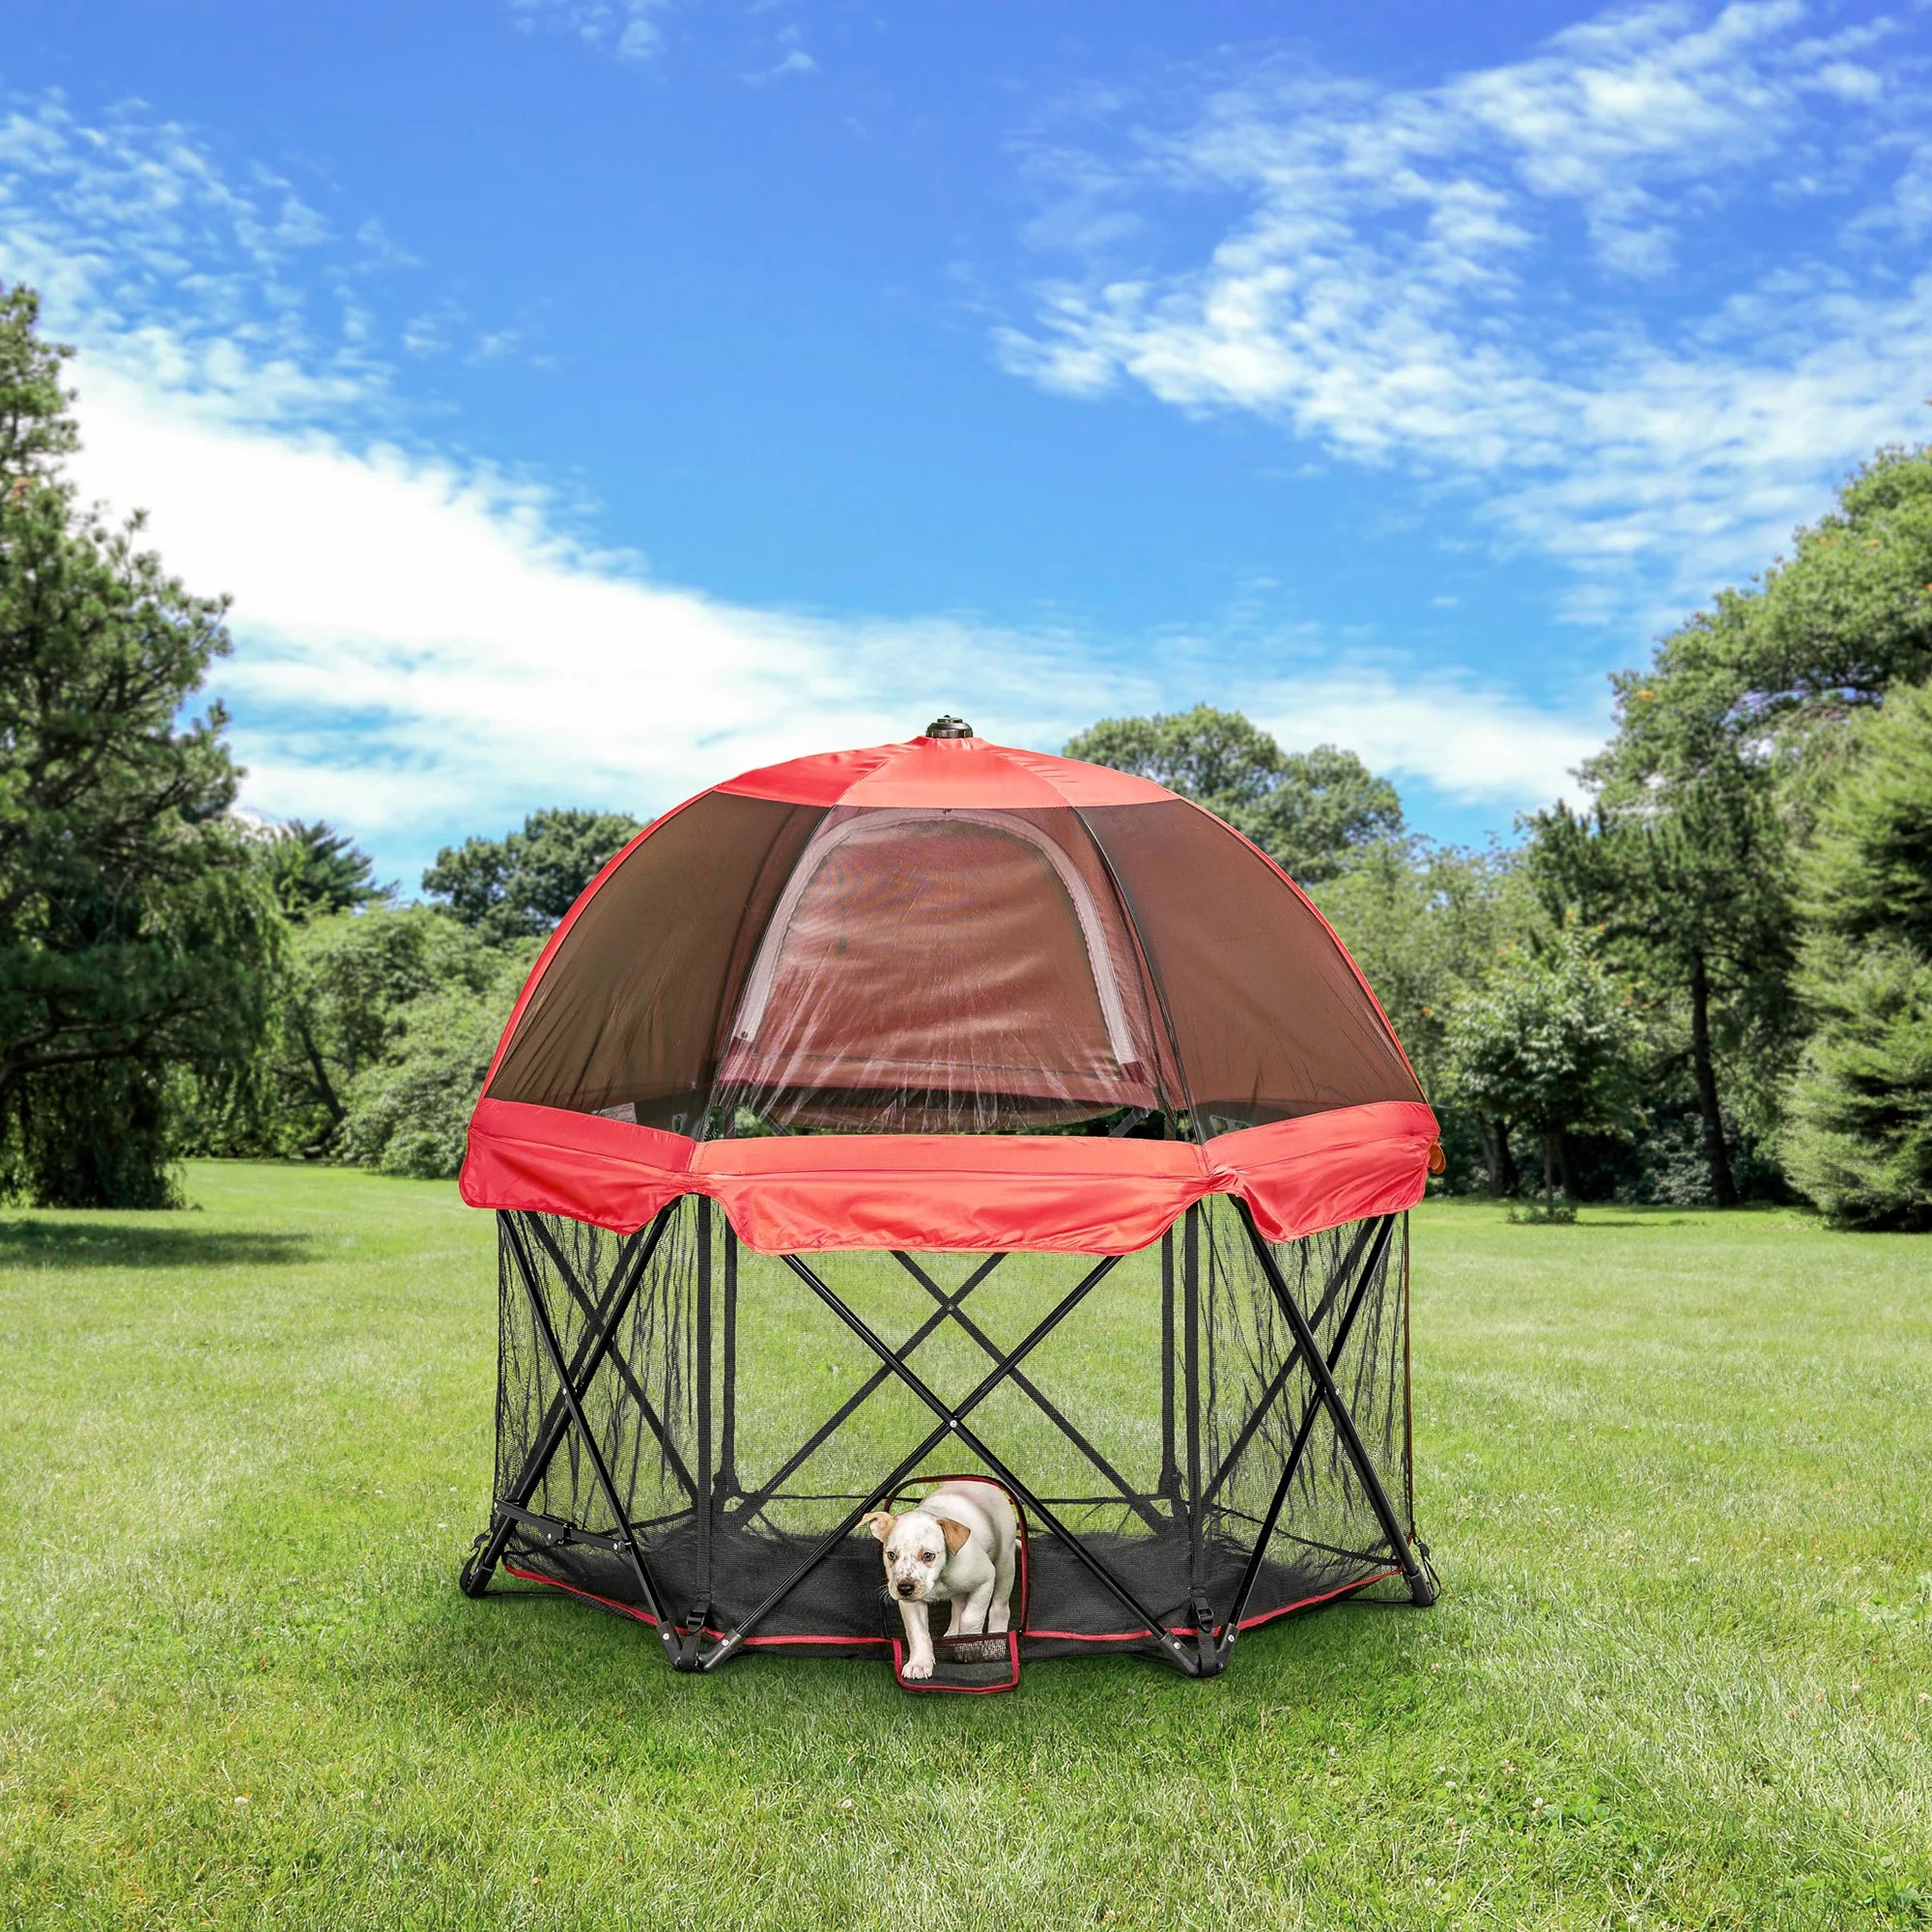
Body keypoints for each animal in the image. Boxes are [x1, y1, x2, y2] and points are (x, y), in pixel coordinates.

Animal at [866, 1476, 1020, 1677]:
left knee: (999, 1608)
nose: (904, 1588)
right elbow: (918, 1632)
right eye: (891, 1554)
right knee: (958, 1607)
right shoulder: (910, 1604)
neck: (939, 1579)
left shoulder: (986, 1579)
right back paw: (952, 1634)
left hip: (1004, 1565)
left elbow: (971, 1616)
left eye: (928, 1555)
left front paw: (968, 1647)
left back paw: (995, 1641)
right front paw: (919, 1663)